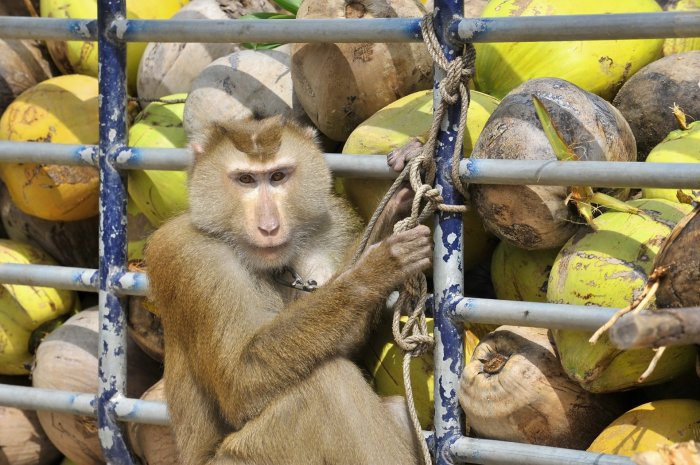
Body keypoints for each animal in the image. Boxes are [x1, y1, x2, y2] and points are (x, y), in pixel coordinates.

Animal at [144, 115, 432, 464]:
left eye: (278, 176)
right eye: (245, 179)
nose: (270, 227)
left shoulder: (329, 228)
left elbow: (341, 342)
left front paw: (401, 192)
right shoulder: (194, 260)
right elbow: (240, 384)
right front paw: (375, 269)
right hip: (249, 455)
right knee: (324, 384)